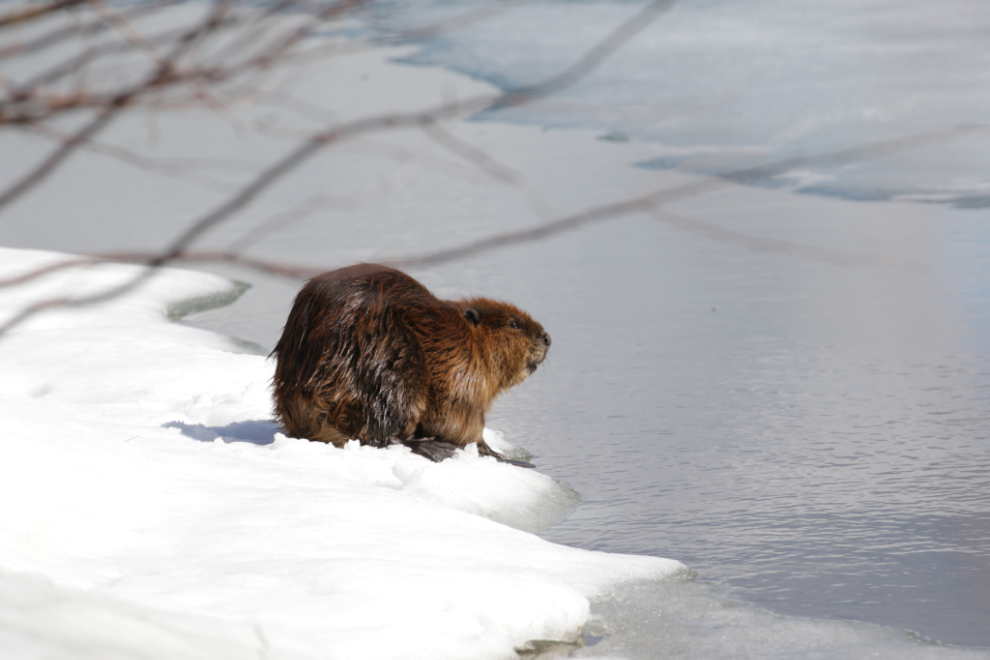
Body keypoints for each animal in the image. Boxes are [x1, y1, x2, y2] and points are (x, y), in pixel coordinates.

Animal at [272, 262, 552, 464]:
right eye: (513, 324)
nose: (547, 338)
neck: (466, 338)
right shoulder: (460, 374)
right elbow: (457, 422)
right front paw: (493, 451)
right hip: (396, 362)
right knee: (385, 434)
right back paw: (435, 447)